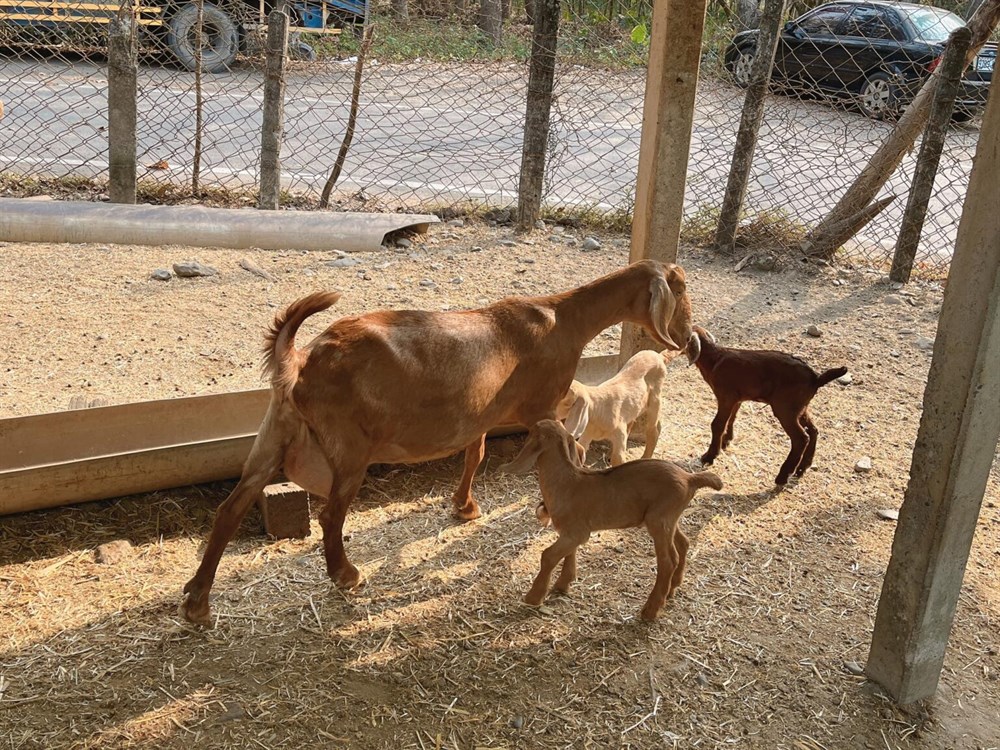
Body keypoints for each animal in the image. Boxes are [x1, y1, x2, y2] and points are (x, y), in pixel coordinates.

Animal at [179, 260, 695, 624]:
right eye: (681, 288)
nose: (688, 336)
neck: (563, 318)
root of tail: (302, 361)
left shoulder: (481, 413)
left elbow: (476, 453)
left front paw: (464, 507)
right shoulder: (543, 407)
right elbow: (566, 450)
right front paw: (545, 511)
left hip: (274, 432)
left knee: (231, 507)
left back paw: (197, 602)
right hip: (350, 446)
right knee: (330, 514)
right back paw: (346, 575)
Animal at [501, 420, 722, 620]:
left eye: (533, 431)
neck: (567, 482)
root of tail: (689, 478)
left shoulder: (576, 532)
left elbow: (548, 555)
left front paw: (534, 597)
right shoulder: (572, 533)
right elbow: (568, 553)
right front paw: (563, 585)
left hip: (659, 520)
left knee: (668, 560)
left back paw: (650, 610)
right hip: (669, 518)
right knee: (683, 543)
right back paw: (672, 589)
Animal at [687, 326, 847, 485]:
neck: (714, 359)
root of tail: (816, 379)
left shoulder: (726, 396)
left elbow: (718, 424)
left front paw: (709, 456)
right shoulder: (737, 399)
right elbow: (732, 418)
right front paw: (726, 441)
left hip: (785, 409)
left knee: (801, 438)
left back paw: (783, 476)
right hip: (800, 407)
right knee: (813, 431)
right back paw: (802, 469)